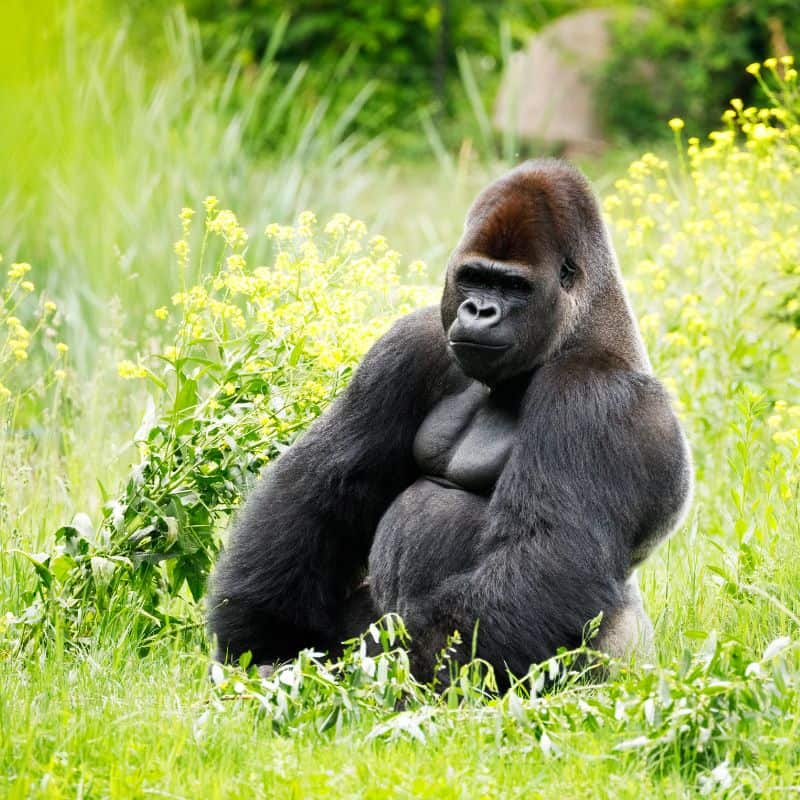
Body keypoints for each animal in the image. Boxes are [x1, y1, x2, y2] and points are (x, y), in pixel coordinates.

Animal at [208, 159, 692, 684]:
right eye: (474, 277)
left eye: (514, 286)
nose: (480, 310)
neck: (578, 330)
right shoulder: (411, 343)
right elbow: (322, 491)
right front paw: (263, 634)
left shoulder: (593, 398)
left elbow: (545, 556)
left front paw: (367, 680)